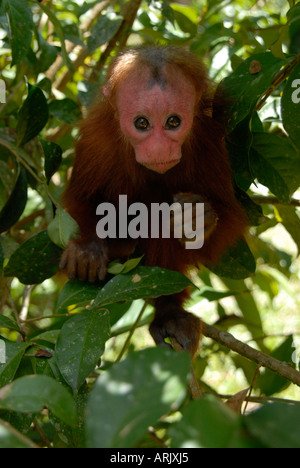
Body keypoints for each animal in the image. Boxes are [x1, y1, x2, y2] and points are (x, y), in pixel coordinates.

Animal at [59, 46, 247, 354]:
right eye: (142, 123)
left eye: (173, 122)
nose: (159, 149)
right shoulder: (96, 141)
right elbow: (80, 198)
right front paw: (87, 248)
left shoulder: (210, 143)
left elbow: (227, 222)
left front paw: (197, 217)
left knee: (160, 221)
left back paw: (169, 313)